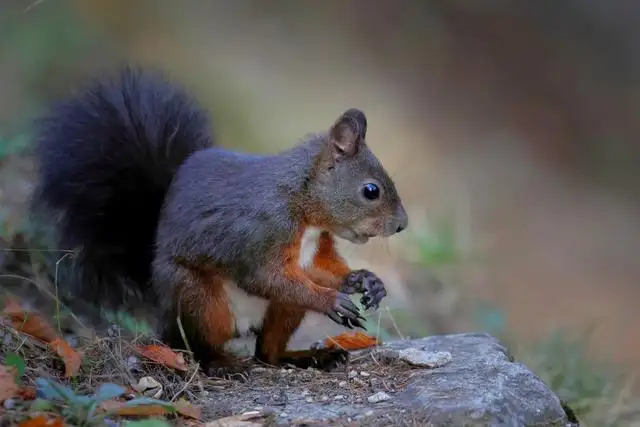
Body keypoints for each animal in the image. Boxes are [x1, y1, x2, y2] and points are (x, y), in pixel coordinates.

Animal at [30, 67, 408, 378]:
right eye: (371, 191)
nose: (402, 225)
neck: (303, 207)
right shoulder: (261, 230)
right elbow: (264, 276)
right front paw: (331, 300)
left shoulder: (316, 246)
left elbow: (319, 268)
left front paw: (364, 280)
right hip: (199, 298)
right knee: (193, 346)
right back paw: (222, 364)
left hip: (280, 311)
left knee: (267, 352)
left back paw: (310, 357)